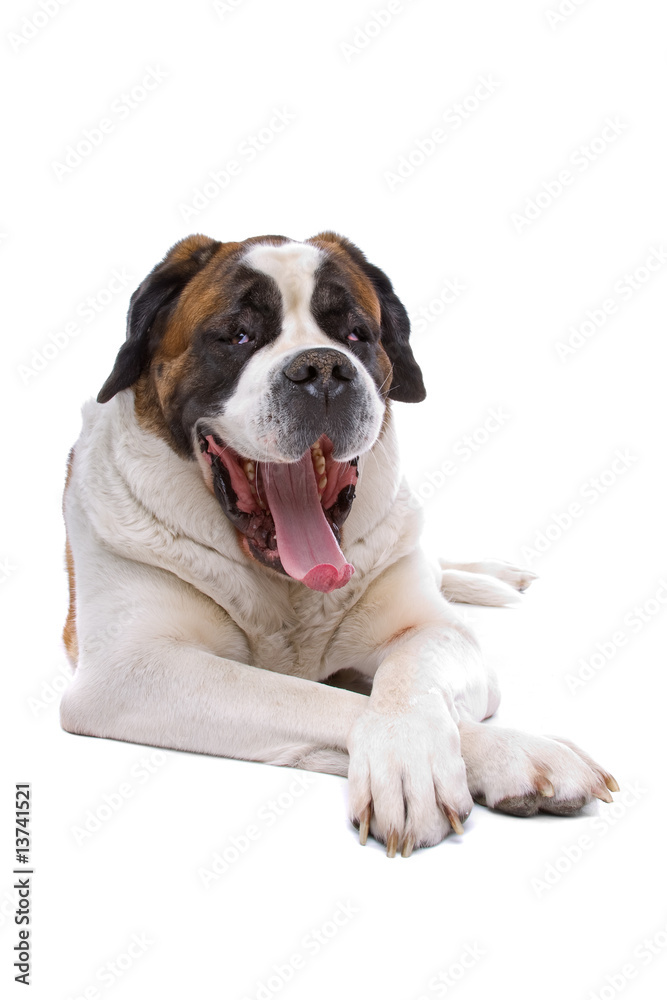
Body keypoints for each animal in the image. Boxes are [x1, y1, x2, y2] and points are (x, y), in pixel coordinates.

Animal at [60, 230, 620, 856]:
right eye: (237, 336)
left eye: (356, 335)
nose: (323, 368)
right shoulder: (131, 672)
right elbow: (314, 697)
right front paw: (495, 753)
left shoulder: (434, 628)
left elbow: (410, 676)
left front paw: (433, 748)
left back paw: (495, 576)